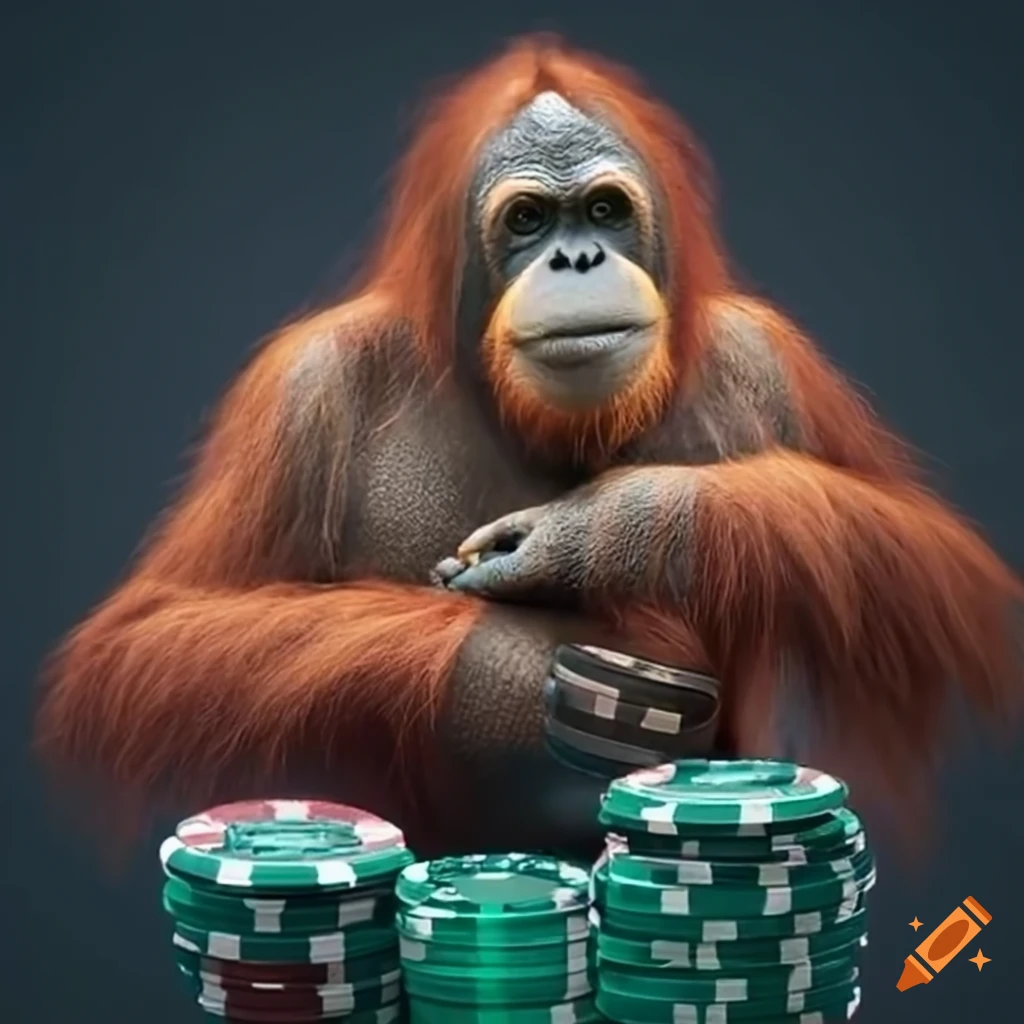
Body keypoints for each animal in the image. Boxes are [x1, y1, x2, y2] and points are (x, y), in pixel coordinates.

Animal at [37, 37, 1022, 858]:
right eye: (526, 222)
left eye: (604, 210)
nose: (577, 259)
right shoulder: (302, 389)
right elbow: (158, 642)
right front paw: (511, 669)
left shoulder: (766, 358)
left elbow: (944, 579)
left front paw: (612, 529)